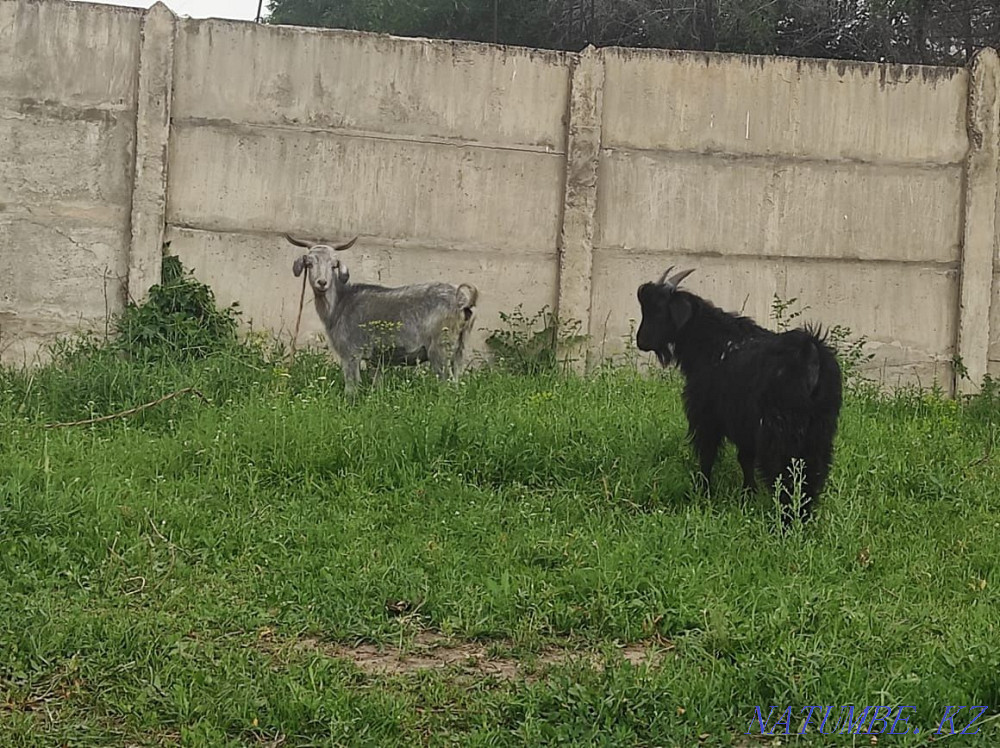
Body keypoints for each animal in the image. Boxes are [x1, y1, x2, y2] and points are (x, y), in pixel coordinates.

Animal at [287, 234, 478, 394]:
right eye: (309, 263)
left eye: (334, 264)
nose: (322, 282)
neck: (341, 304)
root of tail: (463, 301)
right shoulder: (375, 360)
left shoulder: (351, 353)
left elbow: (352, 387)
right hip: (459, 349)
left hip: (439, 349)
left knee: (447, 384)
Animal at [635, 267, 843, 525]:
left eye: (659, 309)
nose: (641, 341)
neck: (712, 342)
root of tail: (811, 355)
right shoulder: (744, 424)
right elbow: (745, 458)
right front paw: (748, 493)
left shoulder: (707, 416)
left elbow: (707, 455)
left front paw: (703, 491)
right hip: (820, 431)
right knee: (813, 471)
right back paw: (802, 515)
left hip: (779, 430)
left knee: (783, 471)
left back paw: (785, 519)